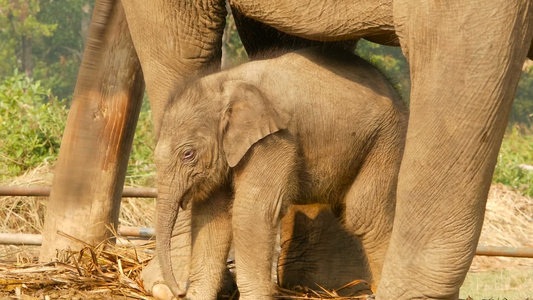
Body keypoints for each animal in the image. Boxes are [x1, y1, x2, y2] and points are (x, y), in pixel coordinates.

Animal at [155, 48, 408, 298]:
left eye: (188, 154)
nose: (179, 290)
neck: (225, 81)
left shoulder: (274, 139)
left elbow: (252, 212)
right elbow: (211, 214)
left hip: (385, 139)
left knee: (365, 217)